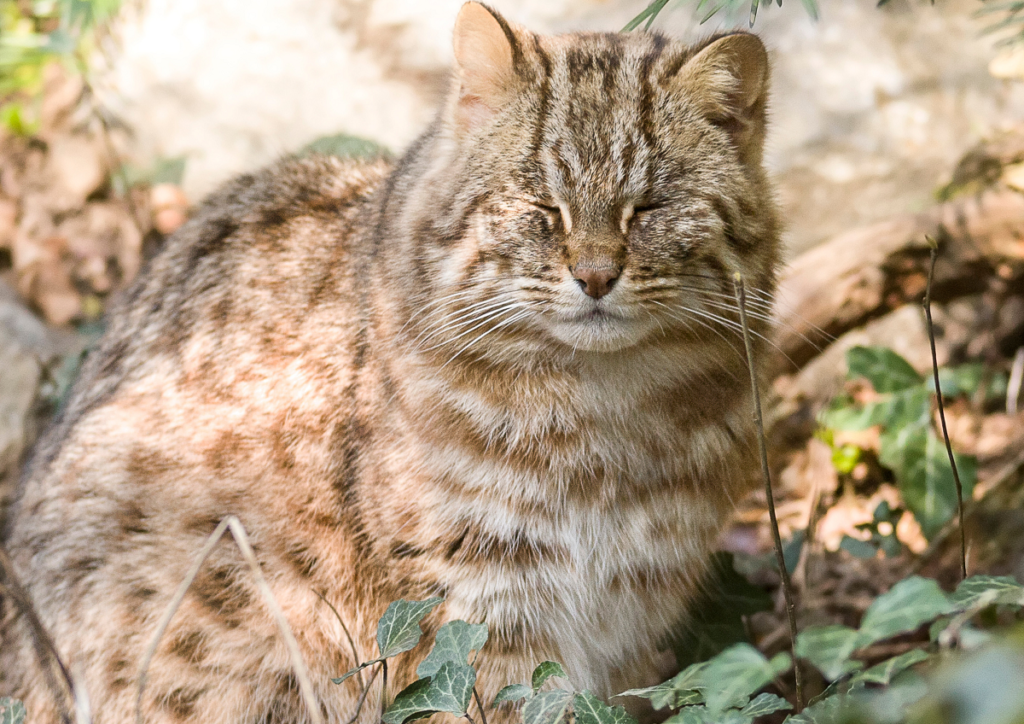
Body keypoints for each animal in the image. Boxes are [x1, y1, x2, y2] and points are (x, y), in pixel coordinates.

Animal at [0, 2, 778, 720]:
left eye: (650, 209)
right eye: (541, 206)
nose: (594, 277)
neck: (606, 415)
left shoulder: (631, 608)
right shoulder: (478, 600)